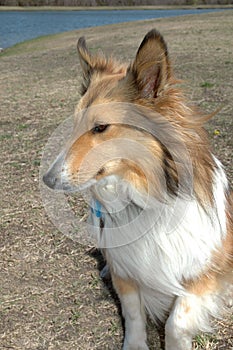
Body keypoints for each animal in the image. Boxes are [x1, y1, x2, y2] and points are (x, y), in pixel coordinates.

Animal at [43, 30, 231, 350]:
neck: (146, 196)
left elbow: (177, 322)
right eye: (75, 124)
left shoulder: (208, 269)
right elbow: (132, 312)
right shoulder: (127, 270)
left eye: (100, 127)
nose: (48, 179)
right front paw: (135, 344)